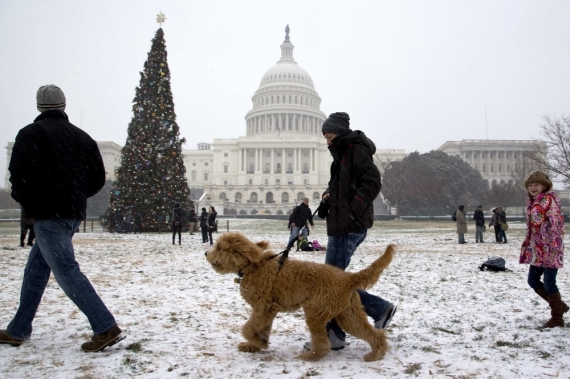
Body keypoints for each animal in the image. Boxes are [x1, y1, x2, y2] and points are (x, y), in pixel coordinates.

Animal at [205, 232, 394, 362]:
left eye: (220, 247)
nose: (206, 253)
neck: (254, 266)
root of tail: (348, 278)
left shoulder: (263, 307)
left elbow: (248, 328)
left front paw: (257, 343)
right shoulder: (268, 311)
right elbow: (260, 328)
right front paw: (256, 345)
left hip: (316, 312)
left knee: (323, 344)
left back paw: (310, 357)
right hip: (348, 315)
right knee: (373, 334)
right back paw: (376, 355)